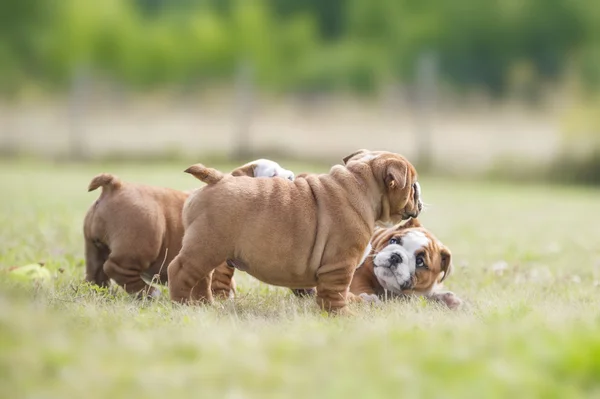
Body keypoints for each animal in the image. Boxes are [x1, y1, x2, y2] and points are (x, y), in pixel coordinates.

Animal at [83, 159, 294, 296]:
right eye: (273, 174)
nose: (292, 176)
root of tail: (114, 187)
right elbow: (218, 284)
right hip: (140, 244)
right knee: (115, 268)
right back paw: (149, 293)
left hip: (93, 248)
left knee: (96, 273)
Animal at [169, 150, 422, 316]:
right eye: (412, 186)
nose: (418, 192)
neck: (360, 184)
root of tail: (219, 178)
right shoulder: (340, 266)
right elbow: (336, 293)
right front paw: (341, 315)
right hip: (206, 246)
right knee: (180, 271)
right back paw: (182, 305)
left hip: (208, 250)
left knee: (202, 278)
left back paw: (204, 305)